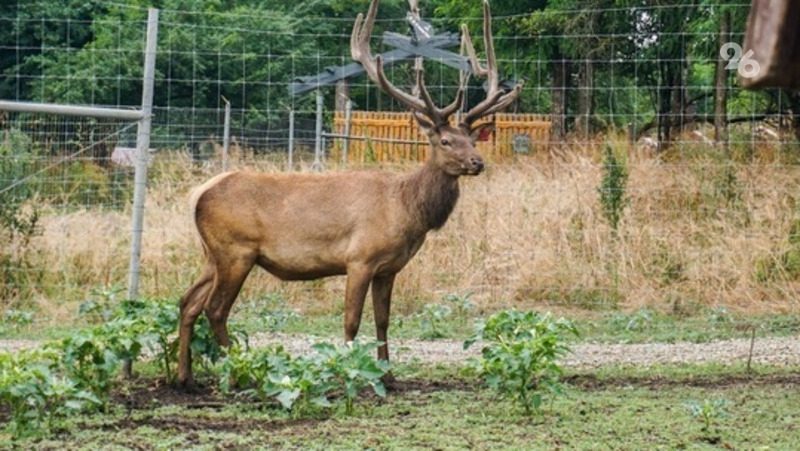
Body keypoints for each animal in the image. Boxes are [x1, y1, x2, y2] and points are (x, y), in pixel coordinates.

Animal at [176, 0, 520, 388]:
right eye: (445, 141)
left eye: (473, 140)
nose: (477, 162)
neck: (407, 211)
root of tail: (198, 194)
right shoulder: (359, 259)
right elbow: (351, 321)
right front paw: (348, 373)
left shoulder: (389, 268)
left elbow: (383, 320)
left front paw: (389, 377)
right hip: (237, 250)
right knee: (215, 309)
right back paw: (242, 372)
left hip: (212, 253)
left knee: (187, 302)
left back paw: (185, 378)